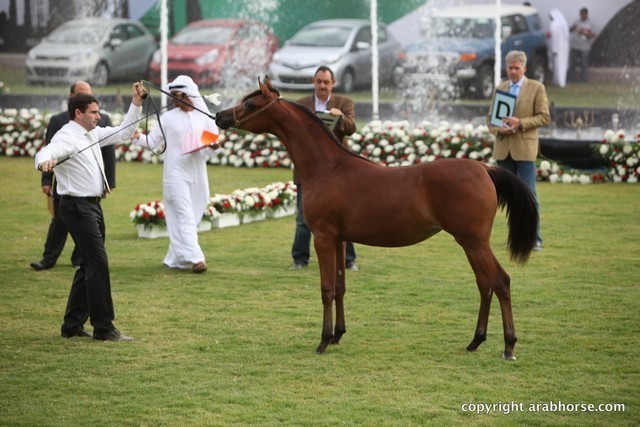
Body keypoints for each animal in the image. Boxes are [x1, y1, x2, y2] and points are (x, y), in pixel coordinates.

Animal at [215, 78, 538, 360]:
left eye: (250, 103)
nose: (219, 116)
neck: (328, 167)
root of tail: (484, 169)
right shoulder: (340, 239)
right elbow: (341, 287)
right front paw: (338, 335)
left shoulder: (323, 238)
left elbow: (327, 289)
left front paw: (323, 340)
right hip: (470, 244)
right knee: (485, 285)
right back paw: (475, 341)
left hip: (474, 242)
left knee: (500, 282)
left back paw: (508, 346)